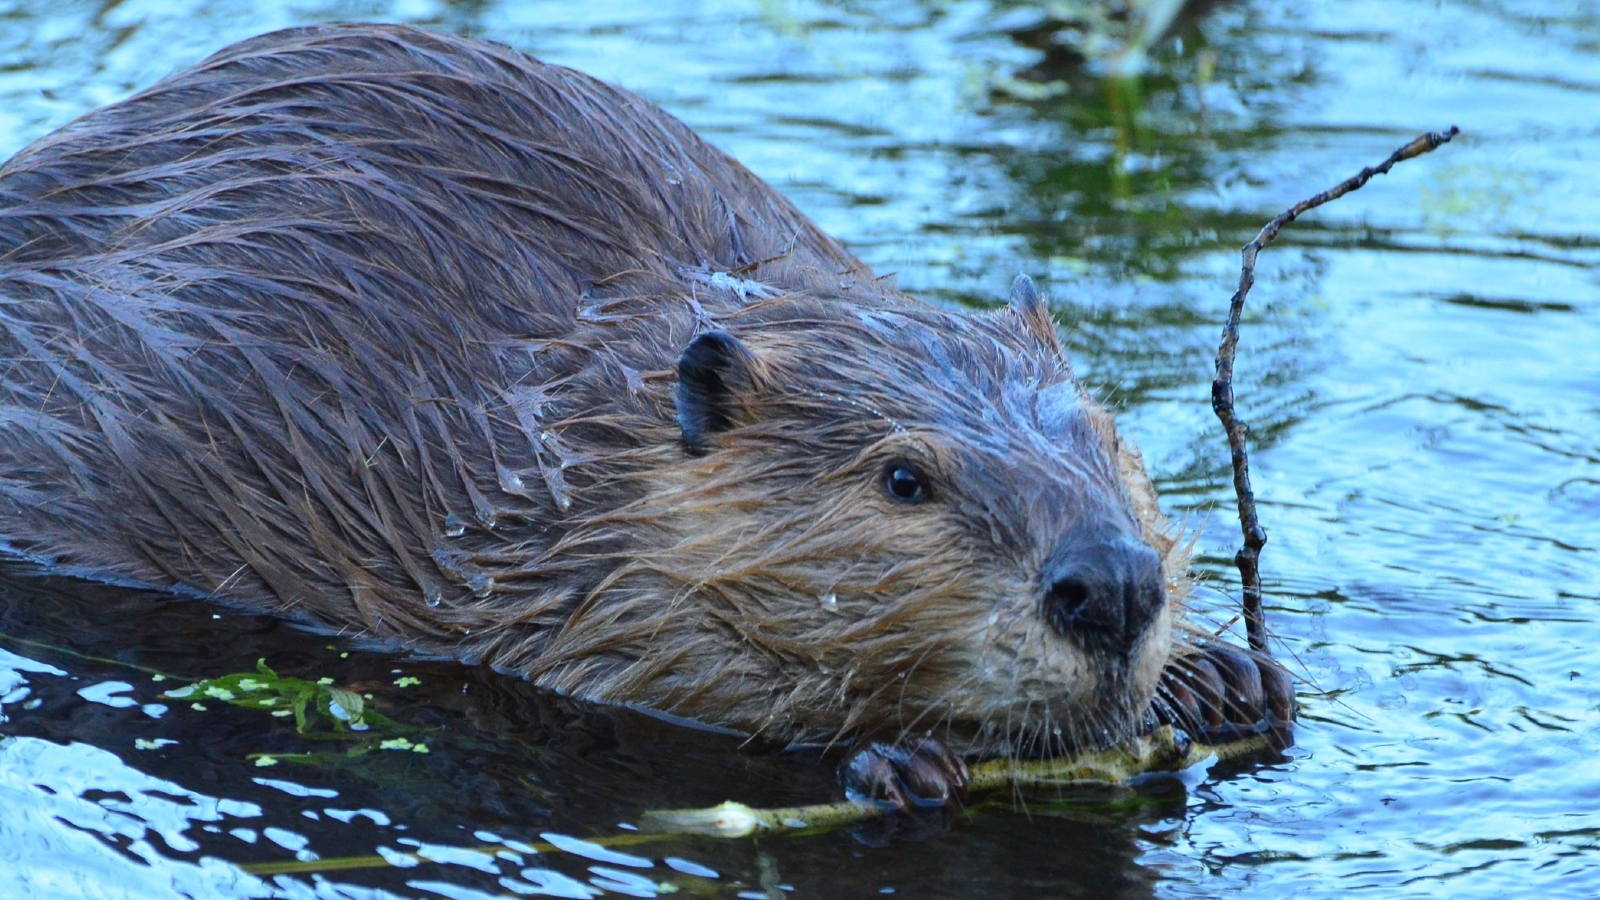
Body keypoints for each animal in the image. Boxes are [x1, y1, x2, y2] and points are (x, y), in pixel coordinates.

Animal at [0, 24, 1280, 800]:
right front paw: (898, 761)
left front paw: (1221, 677)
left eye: (1108, 443)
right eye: (903, 479)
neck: (577, 450)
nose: (1108, 587)